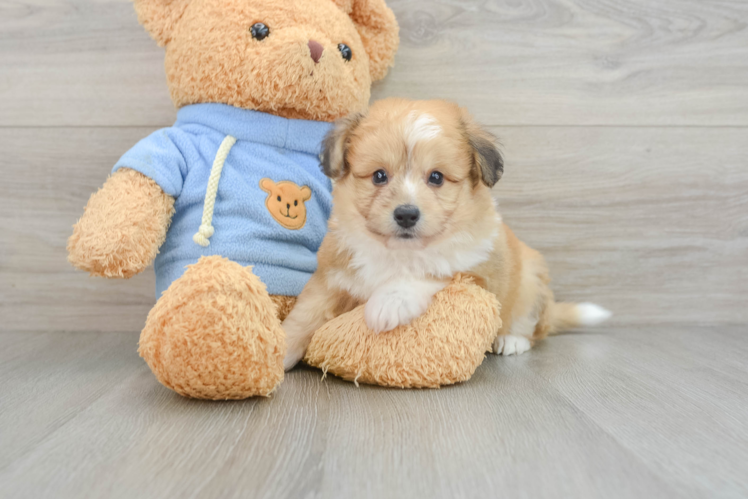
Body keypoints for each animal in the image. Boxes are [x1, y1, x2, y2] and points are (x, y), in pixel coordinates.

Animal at [284, 98, 612, 372]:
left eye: (436, 178)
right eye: (379, 176)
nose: (406, 214)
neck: (398, 252)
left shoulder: (471, 269)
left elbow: (428, 270)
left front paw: (389, 302)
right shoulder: (331, 277)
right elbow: (305, 315)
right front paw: (282, 350)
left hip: (530, 282)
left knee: (530, 326)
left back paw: (510, 340)